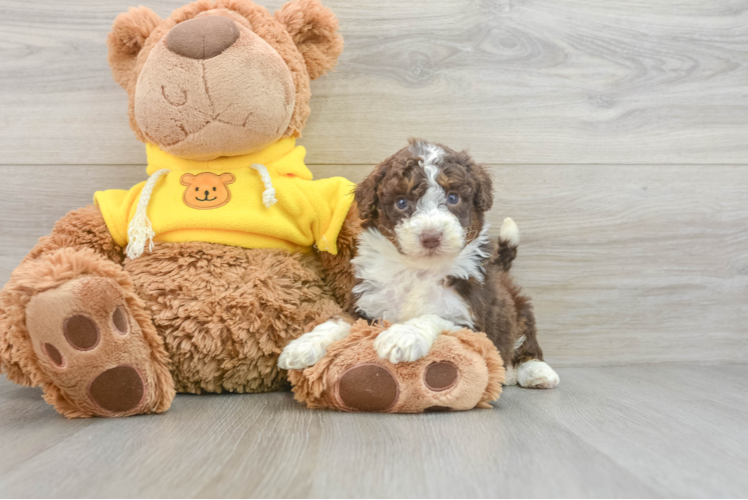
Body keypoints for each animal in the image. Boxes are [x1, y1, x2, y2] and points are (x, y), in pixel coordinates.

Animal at [280, 141, 560, 390]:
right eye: (402, 203)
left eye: (453, 197)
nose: (431, 236)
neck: (417, 269)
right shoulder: (366, 304)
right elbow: (340, 320)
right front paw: (304, 345)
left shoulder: (470, 318)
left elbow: (433, 315)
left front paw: (402, 336)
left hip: (519, 310)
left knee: (526, 340)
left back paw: (536, 372)